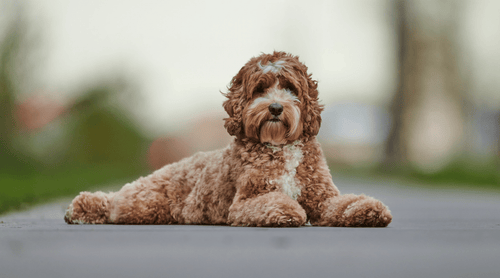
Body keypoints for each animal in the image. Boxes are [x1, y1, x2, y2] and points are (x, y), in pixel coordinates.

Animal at [65, 51, 394, 227]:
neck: (280, 148)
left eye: (290, 88)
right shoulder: (246, 201)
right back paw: (79, 208)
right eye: (260, 88)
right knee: (113, 203)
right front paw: (287, 211)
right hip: (143, 203)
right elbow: (273, 201)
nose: (276, 108)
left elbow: (344, 203)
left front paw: (368, 210)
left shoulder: (322, 196)